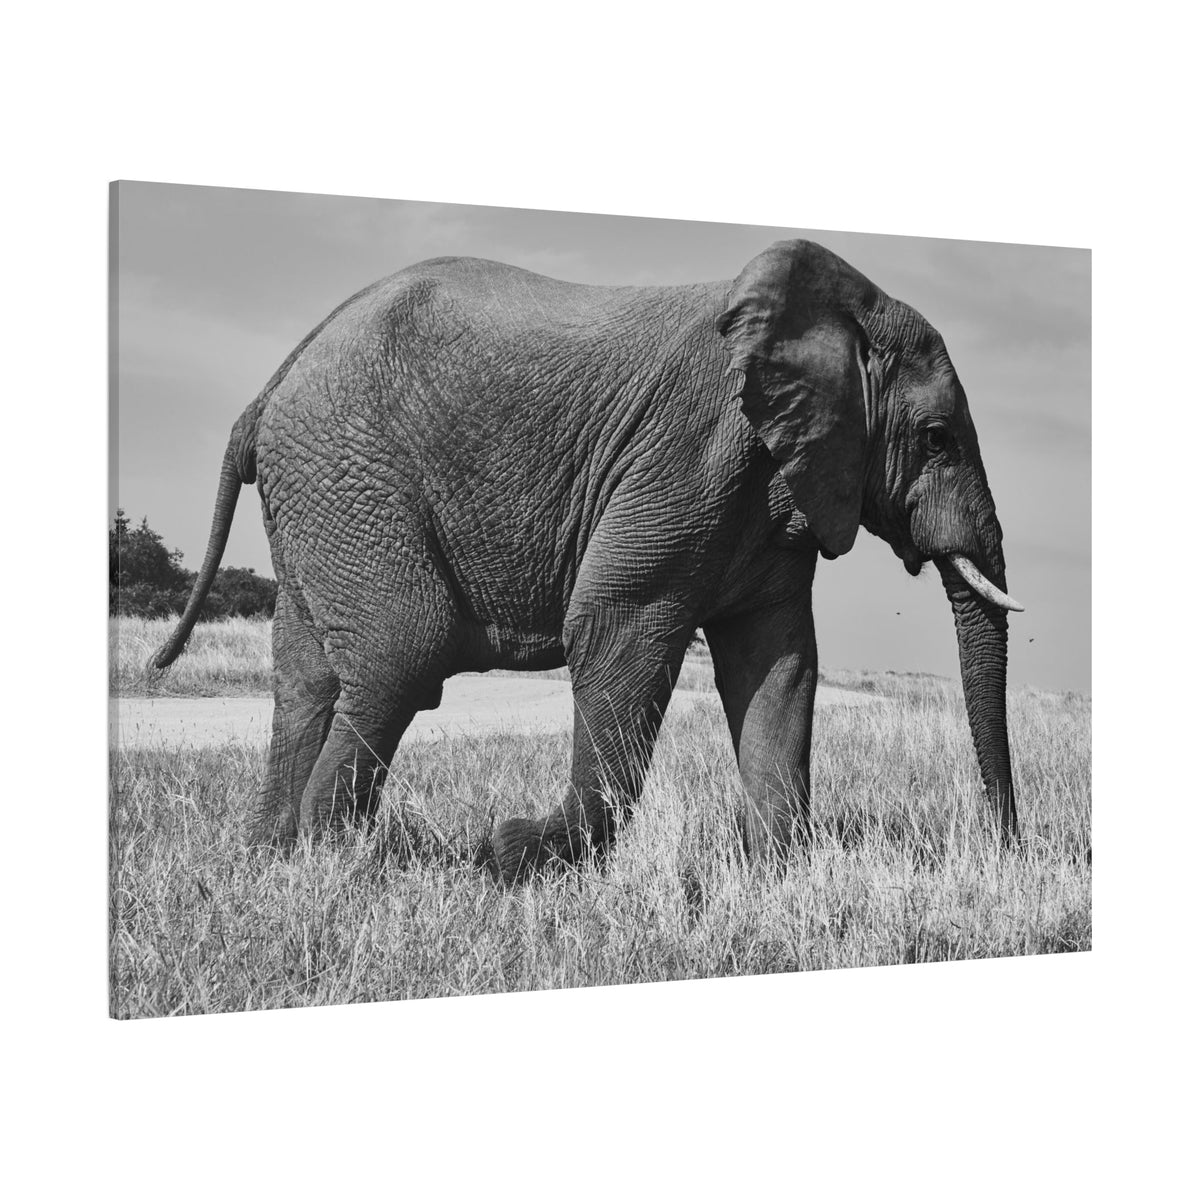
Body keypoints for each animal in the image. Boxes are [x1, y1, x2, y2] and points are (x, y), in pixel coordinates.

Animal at [152, 238, 1023, 884]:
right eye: (938, 438)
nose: (1010, 848)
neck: (837, 309)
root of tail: (268, 391)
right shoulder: (687, 452)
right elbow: (614, 626)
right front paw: (510, 854)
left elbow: (778, 663)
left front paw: (777, 875)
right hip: (351, 474)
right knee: (401, 655)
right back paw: (331, 861)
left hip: (319, 494)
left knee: (306, 678)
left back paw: (274, 856)